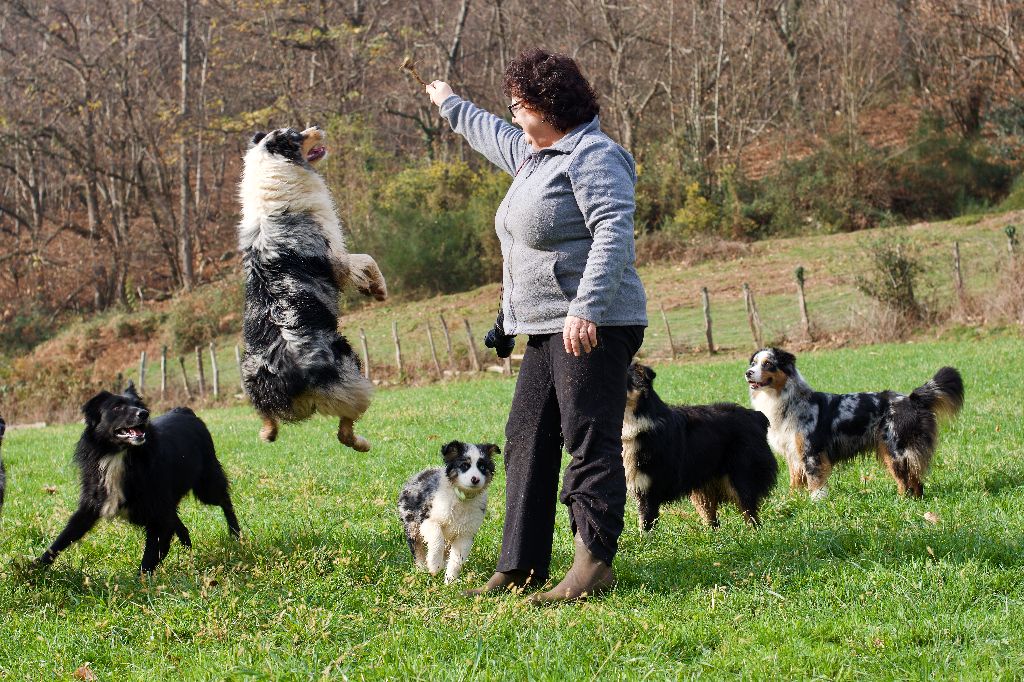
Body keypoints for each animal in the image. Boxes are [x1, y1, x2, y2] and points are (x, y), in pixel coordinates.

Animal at [37, 382, 240, 573]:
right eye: (117, 407)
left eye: (138, 405)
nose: (144, 414)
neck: (120, 455)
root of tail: (186, 411)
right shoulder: (93, 503)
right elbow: (64, 537)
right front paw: (35, 569)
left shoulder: (157, 511)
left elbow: (151, 554)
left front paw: (141, 582)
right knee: (181, 525)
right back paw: (188, 552)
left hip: (206, 484)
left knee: (225, 501)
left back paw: (236, 536)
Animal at [235, 125, 387, 448]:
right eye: (297, 134)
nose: (317, 128)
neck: (274, 170)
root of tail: (286, 369)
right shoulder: (337, 259)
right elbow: (367, 260)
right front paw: (378, 289)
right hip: (350, 369)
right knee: (345, 429)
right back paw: (362, 443)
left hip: (250, 378)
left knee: (266, 419)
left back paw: (268, 433)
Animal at [395, 440, 499, 577]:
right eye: (464, 465)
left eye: (482, 467)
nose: (475, 479)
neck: (462, 498)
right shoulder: (428, 519)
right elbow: (437, 539)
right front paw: (434, 566)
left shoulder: (465, 534)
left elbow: (456, 559)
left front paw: (450, 579)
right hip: (411, 523)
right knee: (417, 547)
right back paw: (421, 568)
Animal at [618, 364, 778, 528]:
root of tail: (756, 416)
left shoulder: (649, 489)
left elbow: (645, 524)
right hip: (703, 488)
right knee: (713, 520)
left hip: (741, 477)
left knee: (750, 515)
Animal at [745, 348, 958, 497]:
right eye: (754, 363)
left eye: (768, 364)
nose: (747, 372)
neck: (787, 400)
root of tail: (911, 399)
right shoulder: (794, 453)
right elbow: (794, 482)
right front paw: (792, 501)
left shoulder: (812, 452)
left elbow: (815, 483)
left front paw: (816, 503)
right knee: (915, 482)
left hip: (896, 450)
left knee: (907, 481)